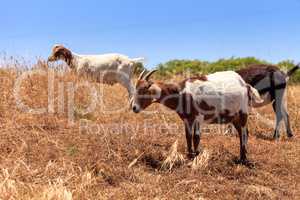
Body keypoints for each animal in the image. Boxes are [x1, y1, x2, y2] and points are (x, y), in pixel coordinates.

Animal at [131, 70, 262, 164]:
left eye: (143, 90)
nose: (134, 108)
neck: (181, 92)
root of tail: (245, 85)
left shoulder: (198, 117)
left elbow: (196, 137)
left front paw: (196, 157)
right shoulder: (187, 119)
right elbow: (188, 136)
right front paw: (189, 155)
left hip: (243, 112)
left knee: (244, 133)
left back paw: (243, 159)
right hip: (234, 116)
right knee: (243, 132)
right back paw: (242, 157)